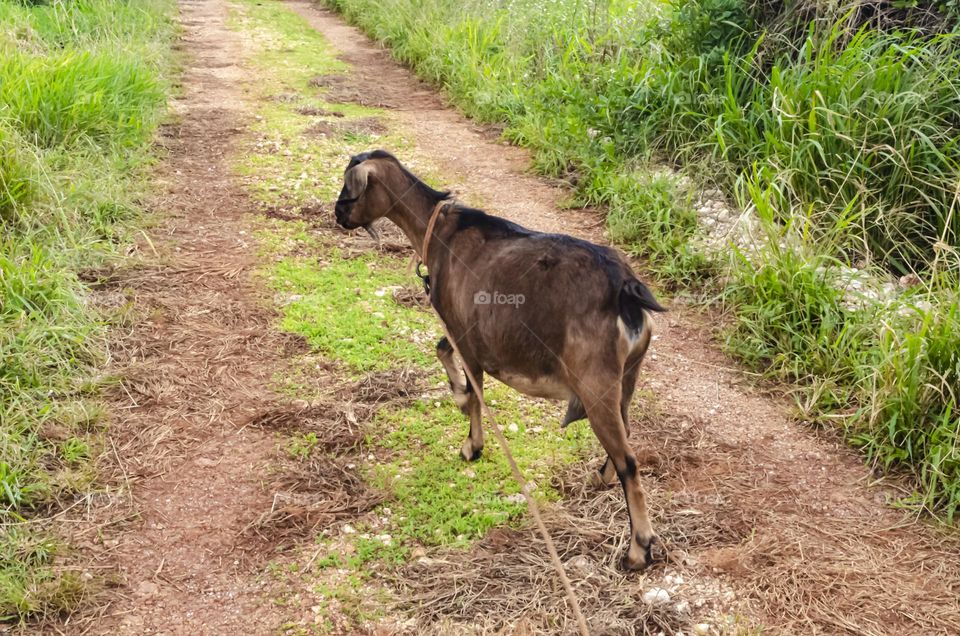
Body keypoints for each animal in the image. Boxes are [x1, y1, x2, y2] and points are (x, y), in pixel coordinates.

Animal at [338, 150, 668, 572]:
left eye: (349, 188)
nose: (337, 214)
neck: (439, 230)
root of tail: (625, 288)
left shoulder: (465, 334)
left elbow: (473, 390)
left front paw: (471, 443)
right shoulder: (463, 331)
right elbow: (442, 350)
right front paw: (458, 397)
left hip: (596, 384)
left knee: (629, 460)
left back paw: (638, 549)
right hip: (627, 377)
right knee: (624, 434)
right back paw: (602, 477)